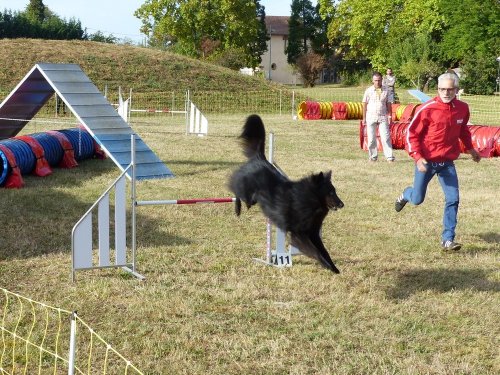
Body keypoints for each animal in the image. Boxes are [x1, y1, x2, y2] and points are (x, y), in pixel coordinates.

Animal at [229, 114, 344, 274]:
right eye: (331, 192)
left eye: (335, 191)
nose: (342, 204)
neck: (308, 199)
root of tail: (260, 157)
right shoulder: (299, 233)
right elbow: (315, 251)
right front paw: (326, 266)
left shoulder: (313, 233)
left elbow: (324, 251)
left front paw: (334, 268)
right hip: (246, 192)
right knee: (234, 187)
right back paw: (238, 208)